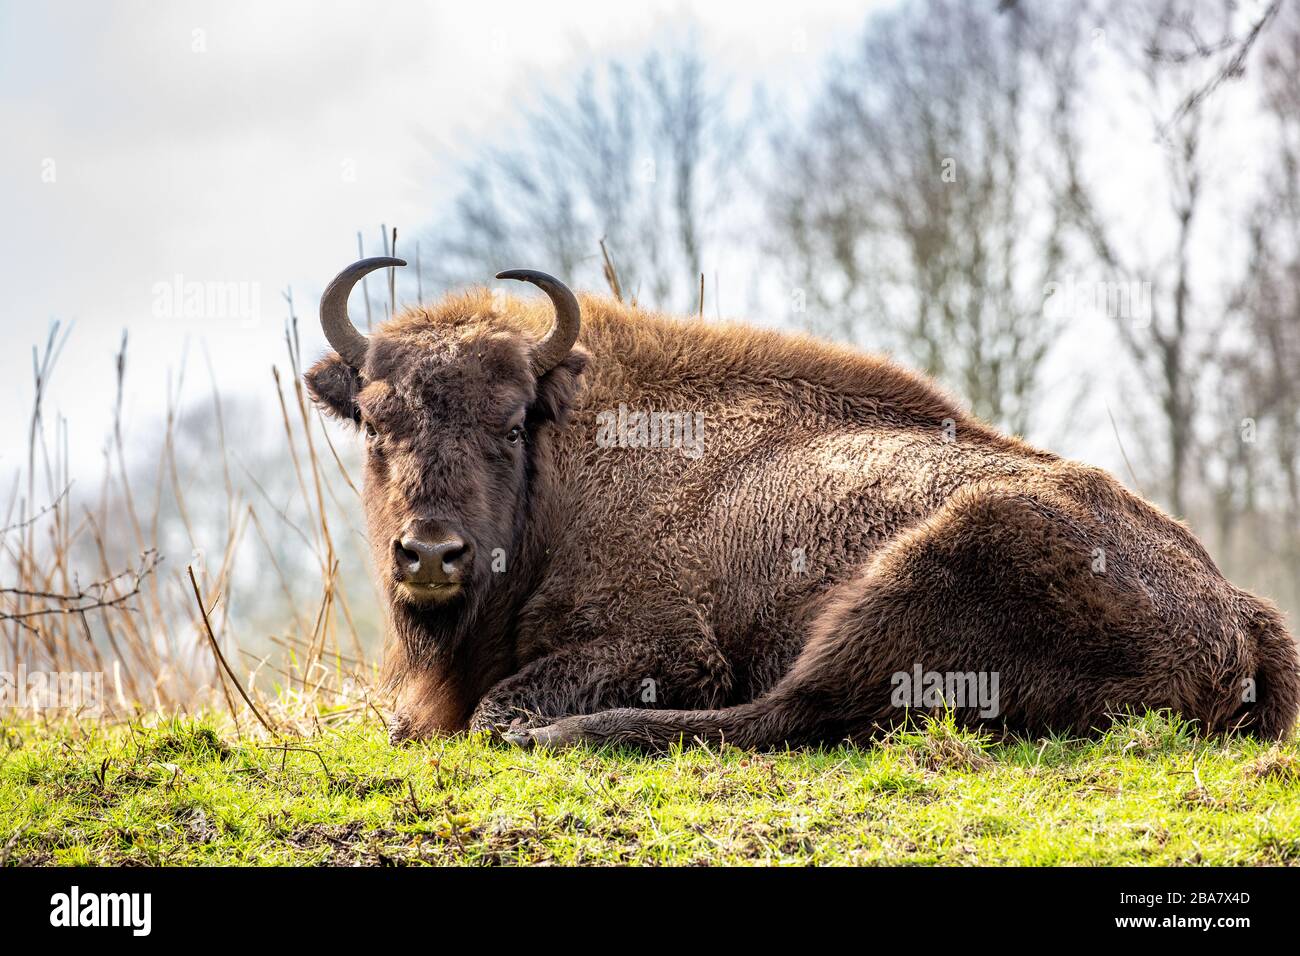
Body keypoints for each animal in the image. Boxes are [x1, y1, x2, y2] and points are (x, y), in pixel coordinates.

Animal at [306, 257, 1300, 749]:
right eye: (375, 423)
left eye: (512, 426)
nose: (431, 555)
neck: (573, 462)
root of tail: (1238, 614)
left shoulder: (663, 645)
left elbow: (492, 708)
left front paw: (521, 724)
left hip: (927, 572)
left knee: (788, 713)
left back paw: (559, 735)